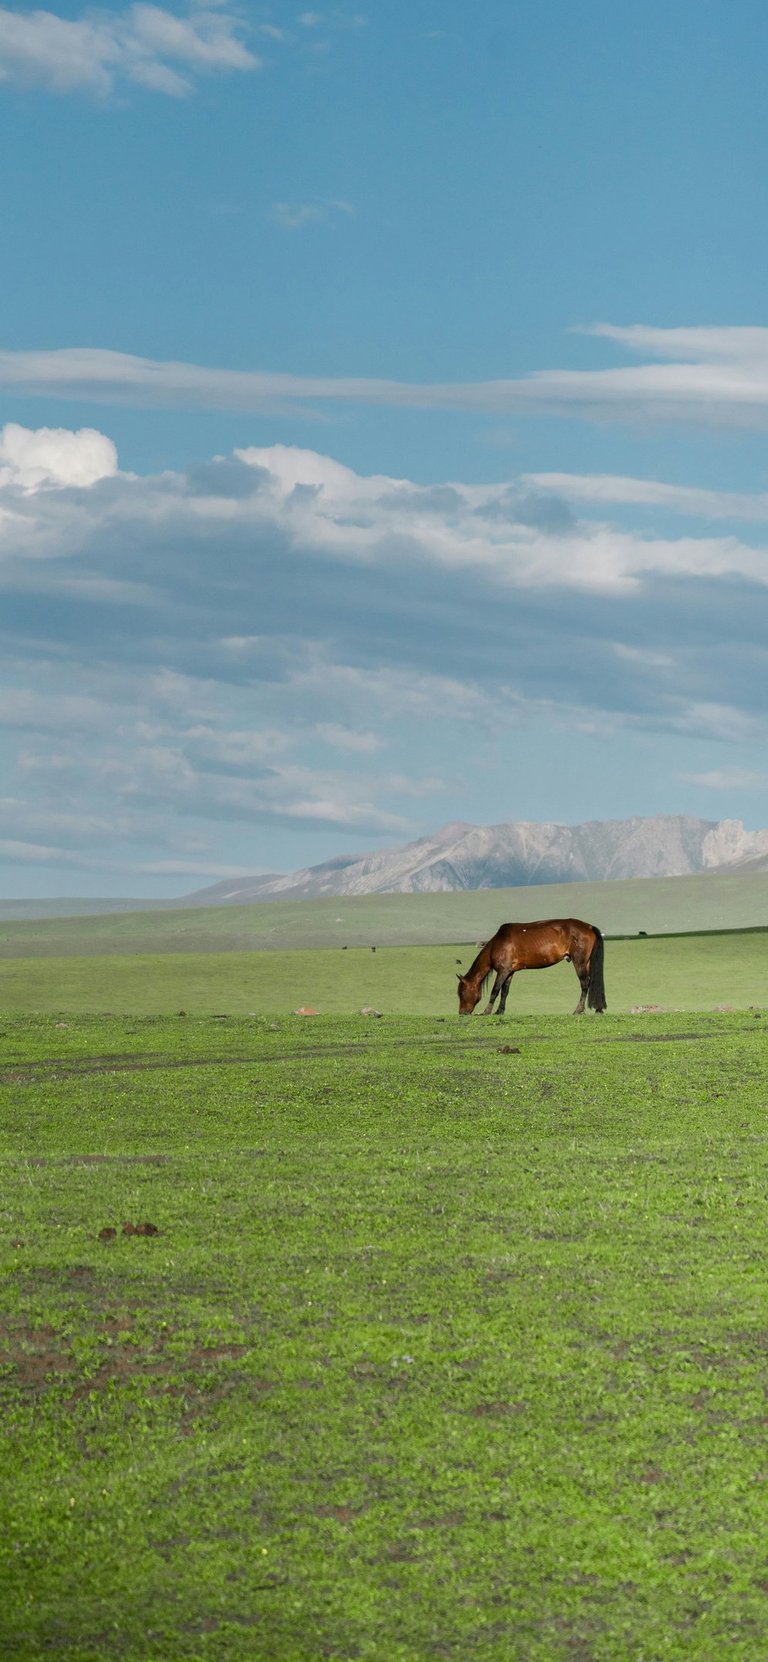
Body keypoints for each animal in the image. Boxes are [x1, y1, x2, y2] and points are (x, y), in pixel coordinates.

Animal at [456, 918, 606, 1016]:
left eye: (461, 993)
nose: (462, 1013)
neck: (498, 943)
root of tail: (589, 927)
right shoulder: (509, 972)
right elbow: (505, 992)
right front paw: (499, 1011)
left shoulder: (503, 971)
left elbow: (495, 990)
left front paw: (487, 1011)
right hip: (587, 962)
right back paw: (598, 1009)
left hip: (579, 962)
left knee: (584, 984)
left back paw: (578, 1010)